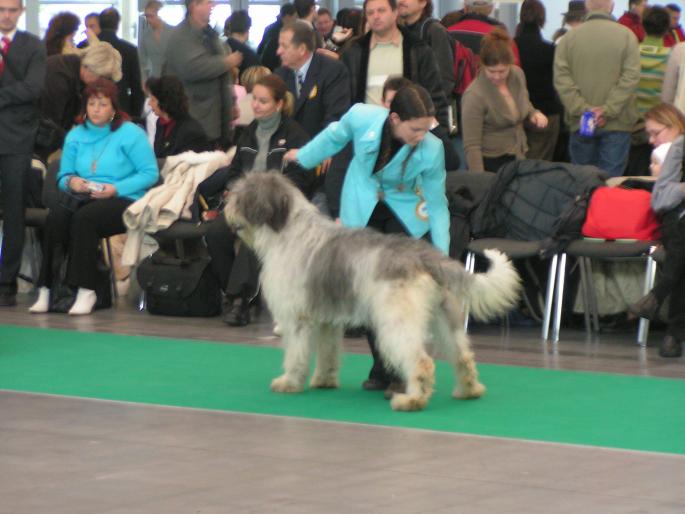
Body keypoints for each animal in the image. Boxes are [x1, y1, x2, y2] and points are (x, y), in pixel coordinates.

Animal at [224, 171, 520, 408]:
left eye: (241, 196)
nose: (224, 203)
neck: (286, 230)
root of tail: (425, 255)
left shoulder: (298, 318)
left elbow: (296, 353)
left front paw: (288, 382)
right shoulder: (327, 319)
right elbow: (328, 351)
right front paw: (324, 380)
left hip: (396, 321)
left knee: (421, 361)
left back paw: (411, 400)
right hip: (444, 318)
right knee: (463, 356)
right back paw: (469, 390)